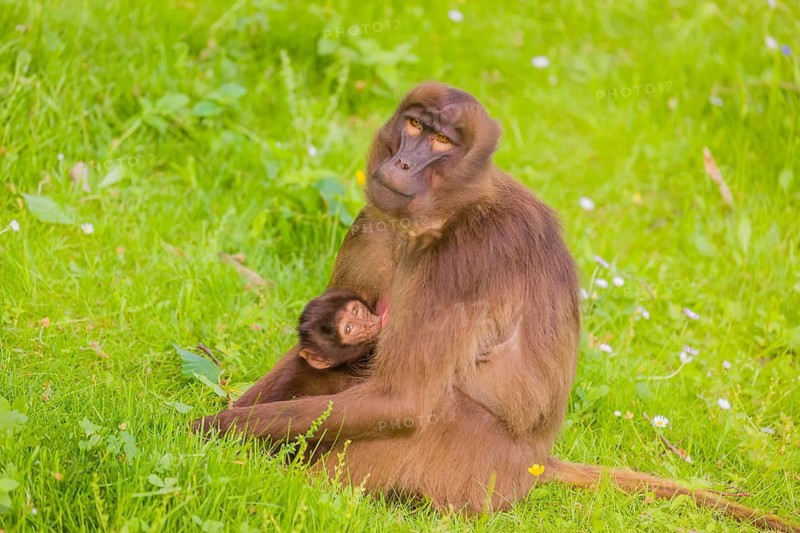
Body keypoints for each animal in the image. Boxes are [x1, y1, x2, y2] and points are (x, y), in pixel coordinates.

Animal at [194, 83, 798, 531]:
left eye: (441, 141)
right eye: (413, 127)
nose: (404, 163)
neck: (442, 215)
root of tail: (536, 462)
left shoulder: (462, 263)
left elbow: (401, 400)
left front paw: (209, 432)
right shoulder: (373, 224)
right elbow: (316, 348)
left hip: (478, 473)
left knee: (429, 413)